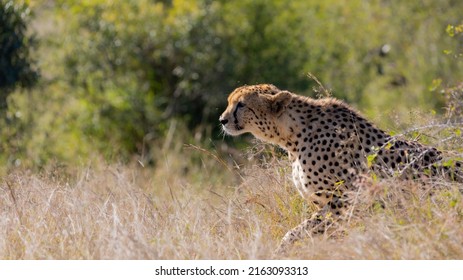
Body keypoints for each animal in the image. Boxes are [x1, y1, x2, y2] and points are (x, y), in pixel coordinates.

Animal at [220, 83, 463, 252]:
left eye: (241, 104)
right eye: (229, 101)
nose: (222, 120)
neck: (292, 135)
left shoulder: (344, 201)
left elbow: (296, 233)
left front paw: (281, 251)